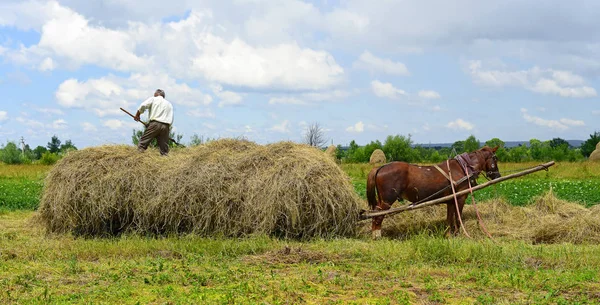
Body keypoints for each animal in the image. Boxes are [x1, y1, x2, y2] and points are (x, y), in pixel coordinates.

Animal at [366, 145, 502, 238]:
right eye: (495, 159)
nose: (498, 176)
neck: (463, 167)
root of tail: (379, 167)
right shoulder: (460, 198)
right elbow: (458, 218)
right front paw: (458, 234)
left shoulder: (451, 200)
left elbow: (449, 219)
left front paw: (448, 234)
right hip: (387, 200)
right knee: (378, 215)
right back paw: (377, 235)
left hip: (382, 199)